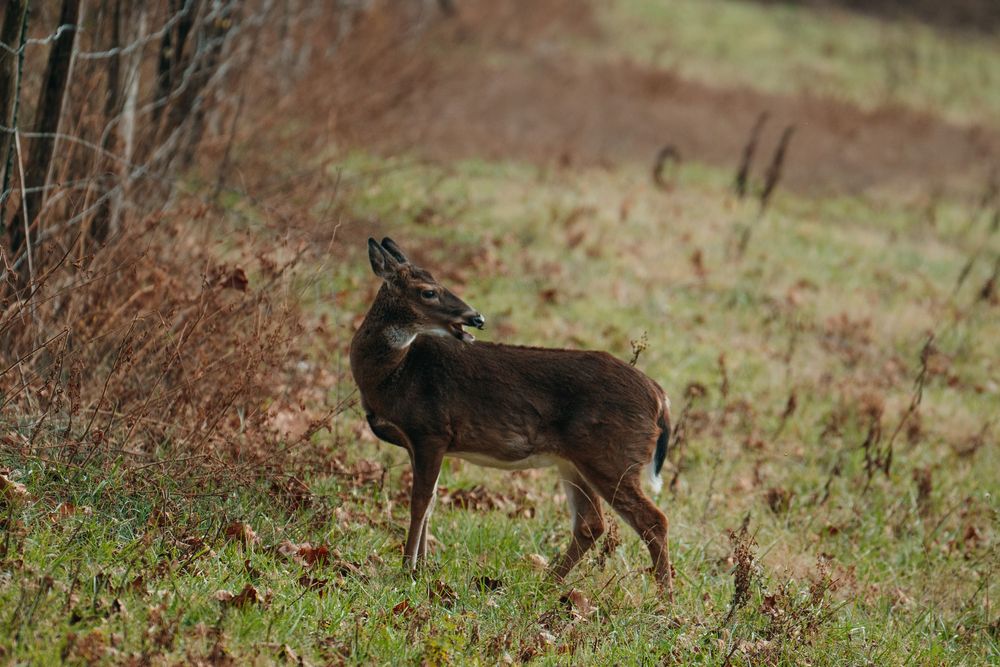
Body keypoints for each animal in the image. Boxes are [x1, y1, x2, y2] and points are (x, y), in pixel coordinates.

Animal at [350, 238, 674, 596]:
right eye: (428, 291)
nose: (476, 317)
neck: (395, 373)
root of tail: (659, 397)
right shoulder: (420, 441)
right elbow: (431, 501)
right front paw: (420, 568)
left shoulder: (430, 431)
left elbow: (419, 501)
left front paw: (407, 570)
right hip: (574, 460)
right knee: (591, 523)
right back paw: (547, 585)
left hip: (612, 456)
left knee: (653, 520)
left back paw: (664, 600)